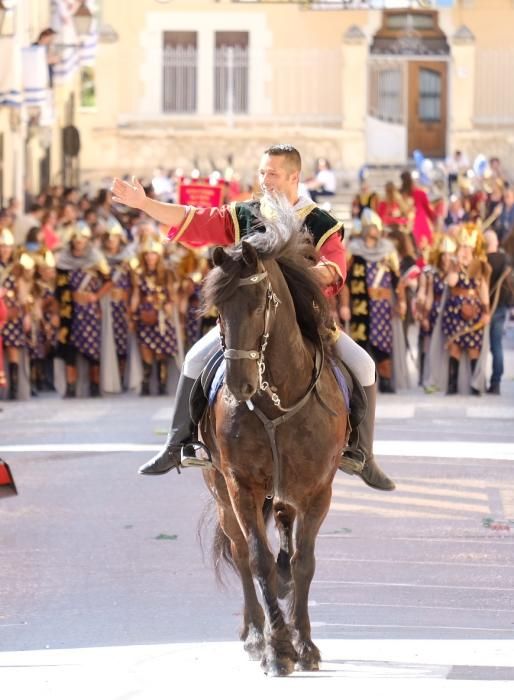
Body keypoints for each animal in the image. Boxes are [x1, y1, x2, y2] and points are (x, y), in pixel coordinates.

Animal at [198, 211, 346, 676]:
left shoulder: (318, 490)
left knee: (283, 530)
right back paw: (254, 633)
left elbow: (303, 562)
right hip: (219, 487)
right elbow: (257, 559)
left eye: (261, 302)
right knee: (240, 550)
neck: (276, 396)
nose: (238, 384)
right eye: (219, 309)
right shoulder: (240, 484)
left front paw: (305, 644)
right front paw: (278, 648)